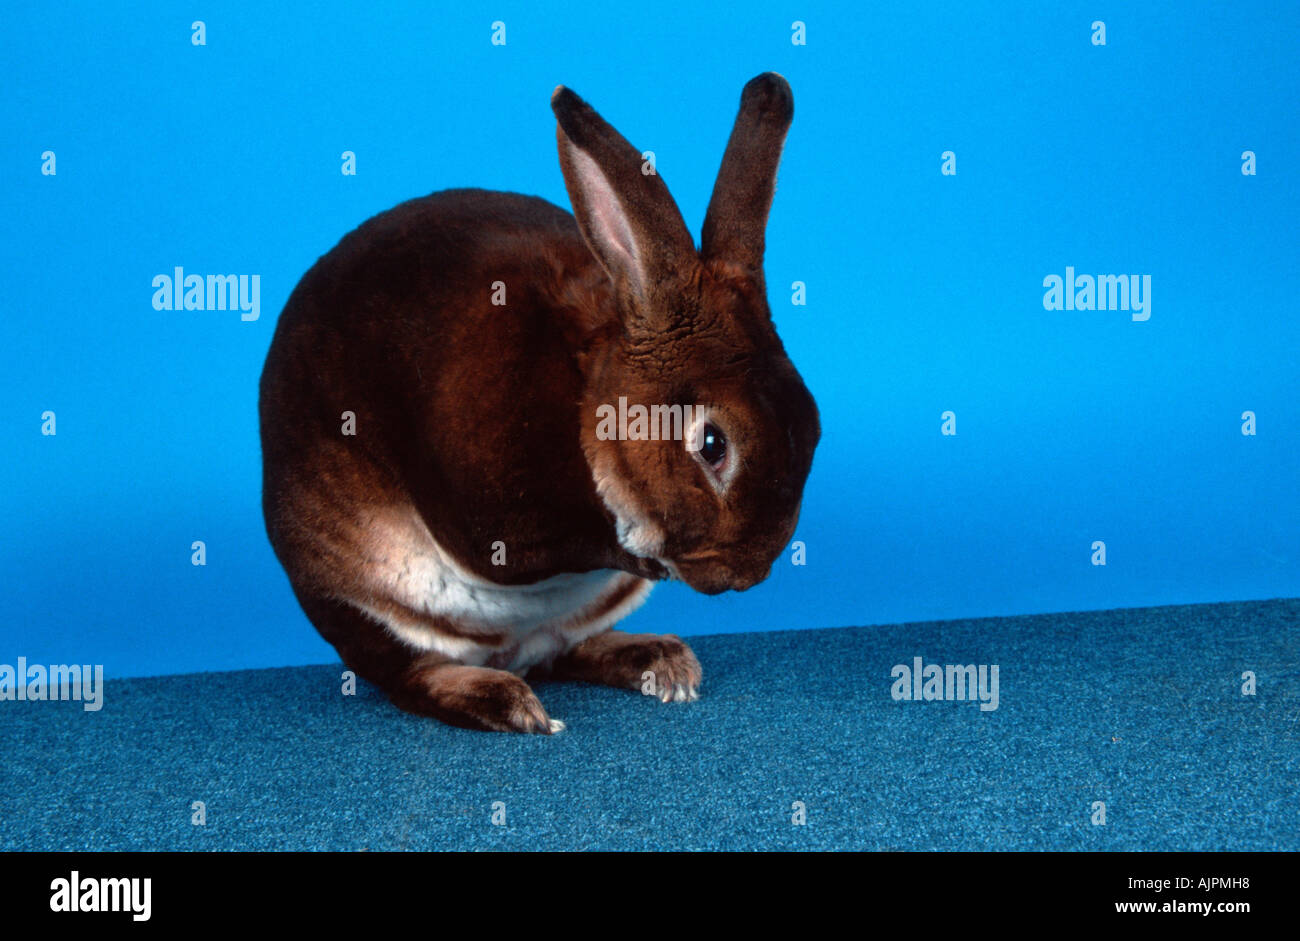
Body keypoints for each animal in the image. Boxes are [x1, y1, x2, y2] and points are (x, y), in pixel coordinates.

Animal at [259, 73, 820, 733]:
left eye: (812, 427)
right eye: (712, 444)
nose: (746, 573)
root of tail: (511, 653)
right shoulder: (491, 520)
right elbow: (513, 554)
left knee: (565, 651)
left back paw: (661, 661)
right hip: (353, 599)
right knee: (413, 676)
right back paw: (506, 702)